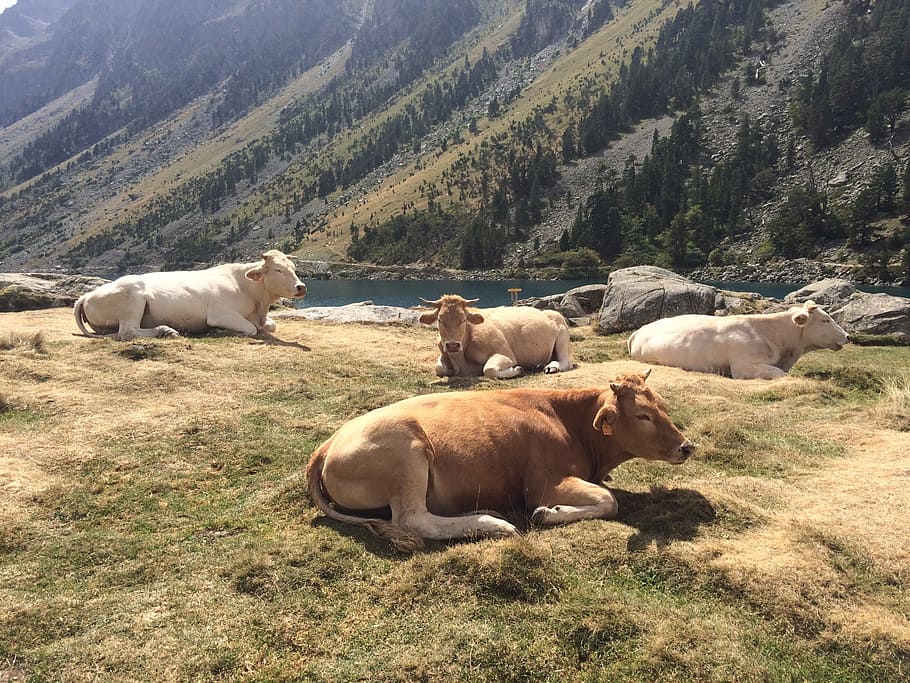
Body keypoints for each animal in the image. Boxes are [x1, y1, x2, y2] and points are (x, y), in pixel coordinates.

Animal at [73, 250, 307, 340]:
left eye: (294, 268)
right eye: (278, 270)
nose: (301, 287)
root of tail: (86, 296)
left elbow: (271, 325)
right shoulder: (220, 314)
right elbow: (251, 329)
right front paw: (219, 331)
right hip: (134, 296)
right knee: (128, 332)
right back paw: (165, 331)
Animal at [306, 371, 695, 550]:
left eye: (663, 405)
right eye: (643, 415)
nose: (687, 446)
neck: (570, 422)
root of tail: (326, 445)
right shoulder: (543, 483)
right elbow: (608, 501)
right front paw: (548, 514)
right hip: (408, 451)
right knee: (413, 519)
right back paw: (492, 524)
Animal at [418, 294, 572, 379]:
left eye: (463, 320)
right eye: (440, 320)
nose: (453, 345)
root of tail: (548, 311)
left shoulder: (505, 354)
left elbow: (489, 370)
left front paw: (517, 369)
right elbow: (439, 369)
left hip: (562, 337)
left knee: (565, 361)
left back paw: (551, 367)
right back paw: (539, 364)